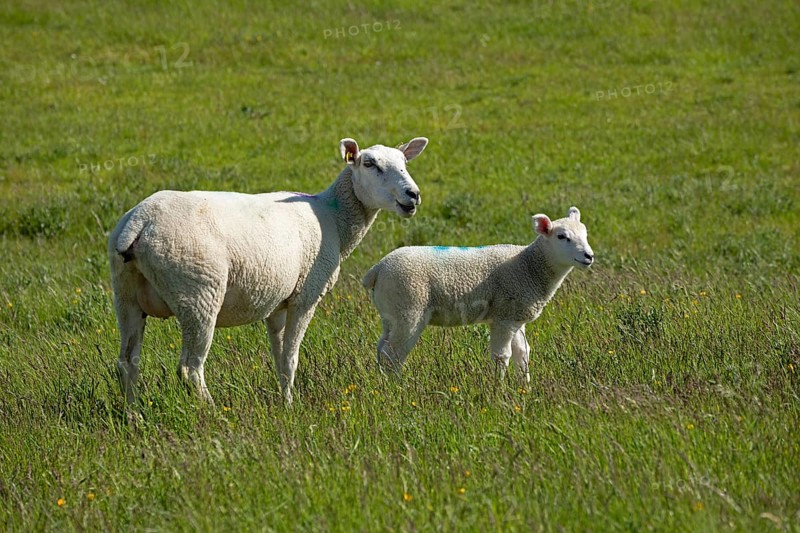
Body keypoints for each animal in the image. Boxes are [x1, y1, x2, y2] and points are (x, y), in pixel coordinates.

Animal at [109, 136, 428, 405]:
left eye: (404, 162)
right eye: (369, 163)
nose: (412, 195)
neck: (334, 217)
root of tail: (140, 220)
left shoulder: (278, 304)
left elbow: (280, 358)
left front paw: (284, 401)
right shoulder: (305, 297)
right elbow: (291, 358)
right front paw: (292, 407)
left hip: (126, 293)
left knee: (127, 362)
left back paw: (132, 415)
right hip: (197, 291)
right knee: (190, 368)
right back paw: (211, 412)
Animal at [362, 206, 594, 381]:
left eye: (585, 234)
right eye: (562, 237)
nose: (589, 256)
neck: (529, 267)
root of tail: (377, 269)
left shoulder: (516, 315)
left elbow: (523, 353)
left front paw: (525, 388)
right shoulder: (504, 317)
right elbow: (502, 356)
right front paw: (499, 389)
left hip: (391, 313)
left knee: (382, 347)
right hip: (409, 309)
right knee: (393, 353)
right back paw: (396, 387)